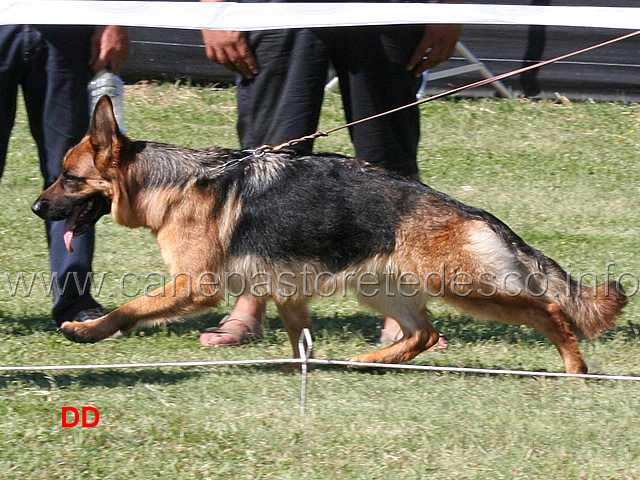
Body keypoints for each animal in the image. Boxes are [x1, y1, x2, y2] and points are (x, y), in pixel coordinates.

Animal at [32, 96, 628, 376]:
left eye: (69, 178)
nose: (36, 207)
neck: (173, 184)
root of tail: (469, 210)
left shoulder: (193, 287)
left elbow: (129, 308)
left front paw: (86, 331)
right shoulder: (287, 294)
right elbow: (301, 342)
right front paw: (304, 373)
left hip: (465, 288)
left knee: (548, 311)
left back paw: (576, 371)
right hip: (381, 289)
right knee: (423, 333)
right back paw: (368, 362)